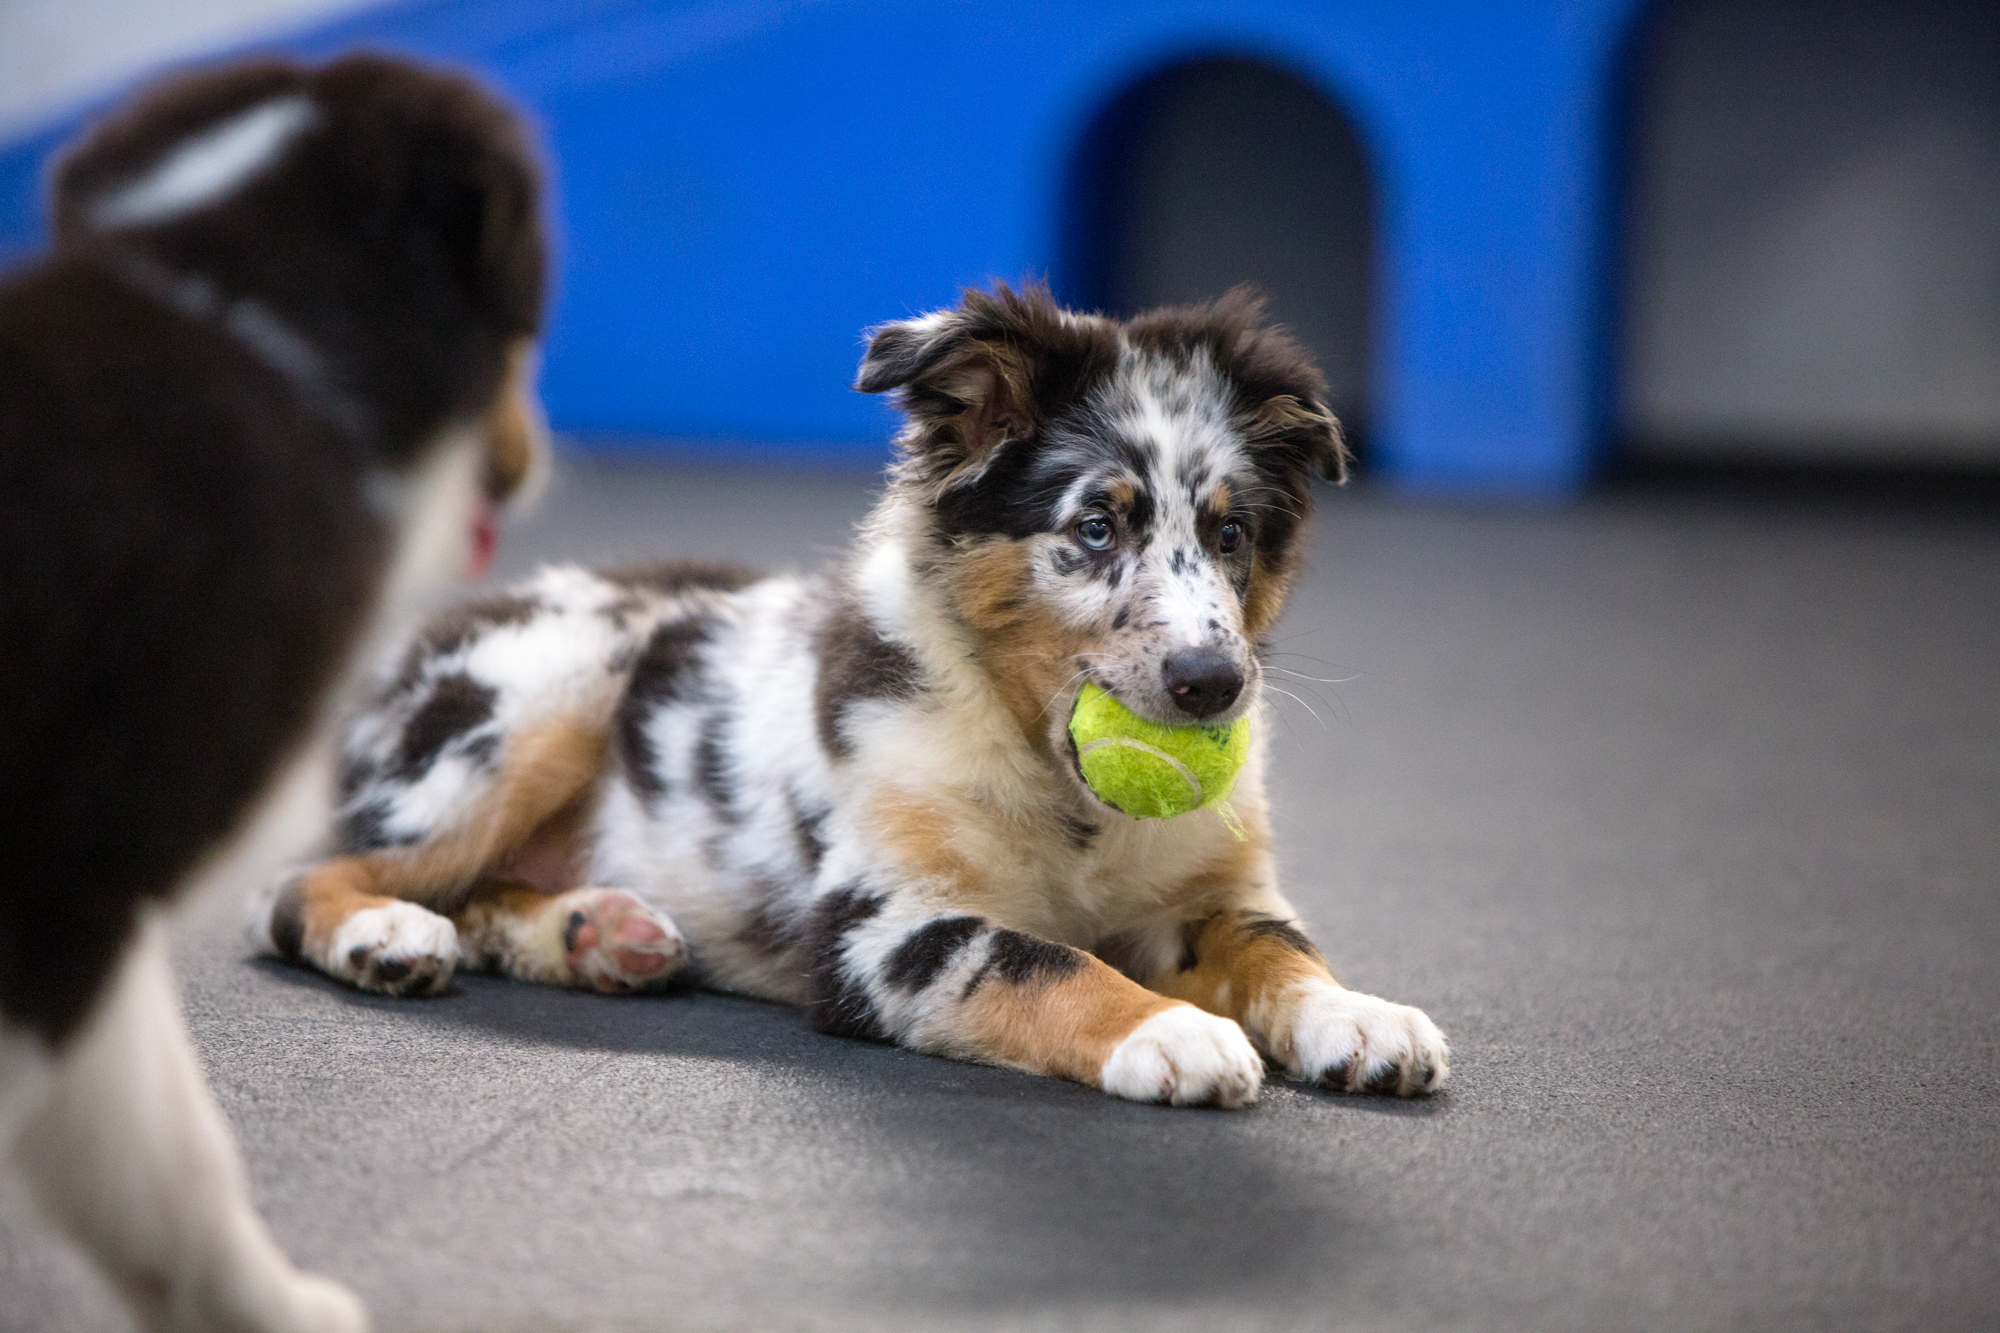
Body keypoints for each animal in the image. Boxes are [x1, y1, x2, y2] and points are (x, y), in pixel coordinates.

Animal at [262, 282, 1456, 1112]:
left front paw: (1357, 1018)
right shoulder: (883, 930)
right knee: (302, 881)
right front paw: (1167, 1032)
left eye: (1232, 532)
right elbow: (1043, 958)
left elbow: (1280, 948)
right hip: (539, 697)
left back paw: (596, 931)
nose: (1214, 688)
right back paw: (384, 932)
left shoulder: (1210, 895)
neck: (1056, 783)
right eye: (1094, 526)